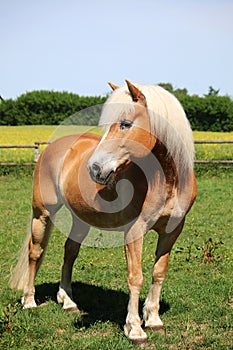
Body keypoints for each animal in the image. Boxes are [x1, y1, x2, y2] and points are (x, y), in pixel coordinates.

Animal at [10, 80, 197, 344]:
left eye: (125, 123)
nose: (95, 169)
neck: (167, 180)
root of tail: (51, 148)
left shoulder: (172, 231)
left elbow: (158, 273)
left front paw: (153, 320)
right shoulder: (135, 232)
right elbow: (136, 276)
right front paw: (135, 329)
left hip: (80, 219)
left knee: (70, 252)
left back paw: (67, 301)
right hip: (42, 214)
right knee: (35, 253)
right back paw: (29, 301)